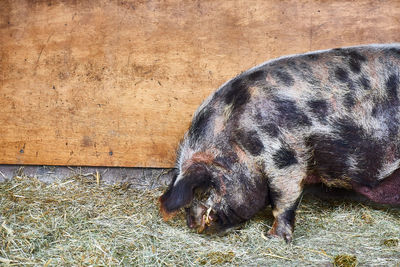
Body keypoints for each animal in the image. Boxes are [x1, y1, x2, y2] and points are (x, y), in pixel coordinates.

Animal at [158, 44, 400, 243]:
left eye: (211, 183)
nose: (191, 222)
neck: (239, 137)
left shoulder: (285, 157)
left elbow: (283, 199)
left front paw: (273, 238)